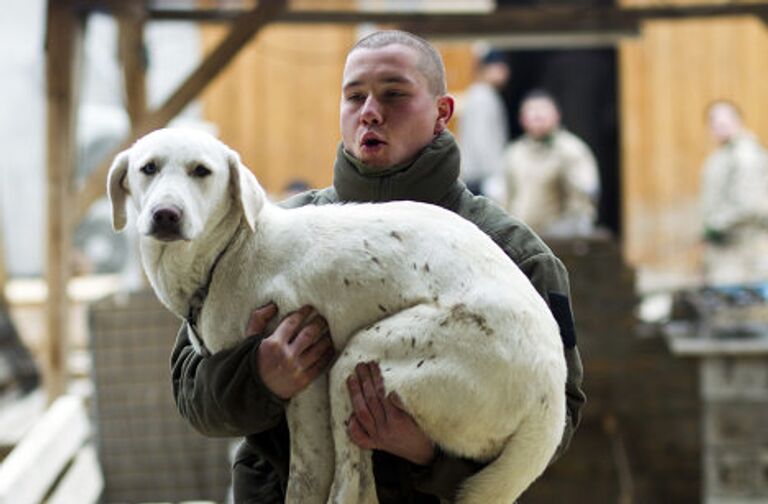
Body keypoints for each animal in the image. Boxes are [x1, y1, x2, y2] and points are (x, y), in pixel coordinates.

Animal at [106, 128, 564, 502]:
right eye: (148, 168)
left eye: (201, 171)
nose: (166, 214)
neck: (232, 249)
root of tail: (552, 395)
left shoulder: (306, 379)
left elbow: (306, 479)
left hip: (359, 360)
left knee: (355, 489)